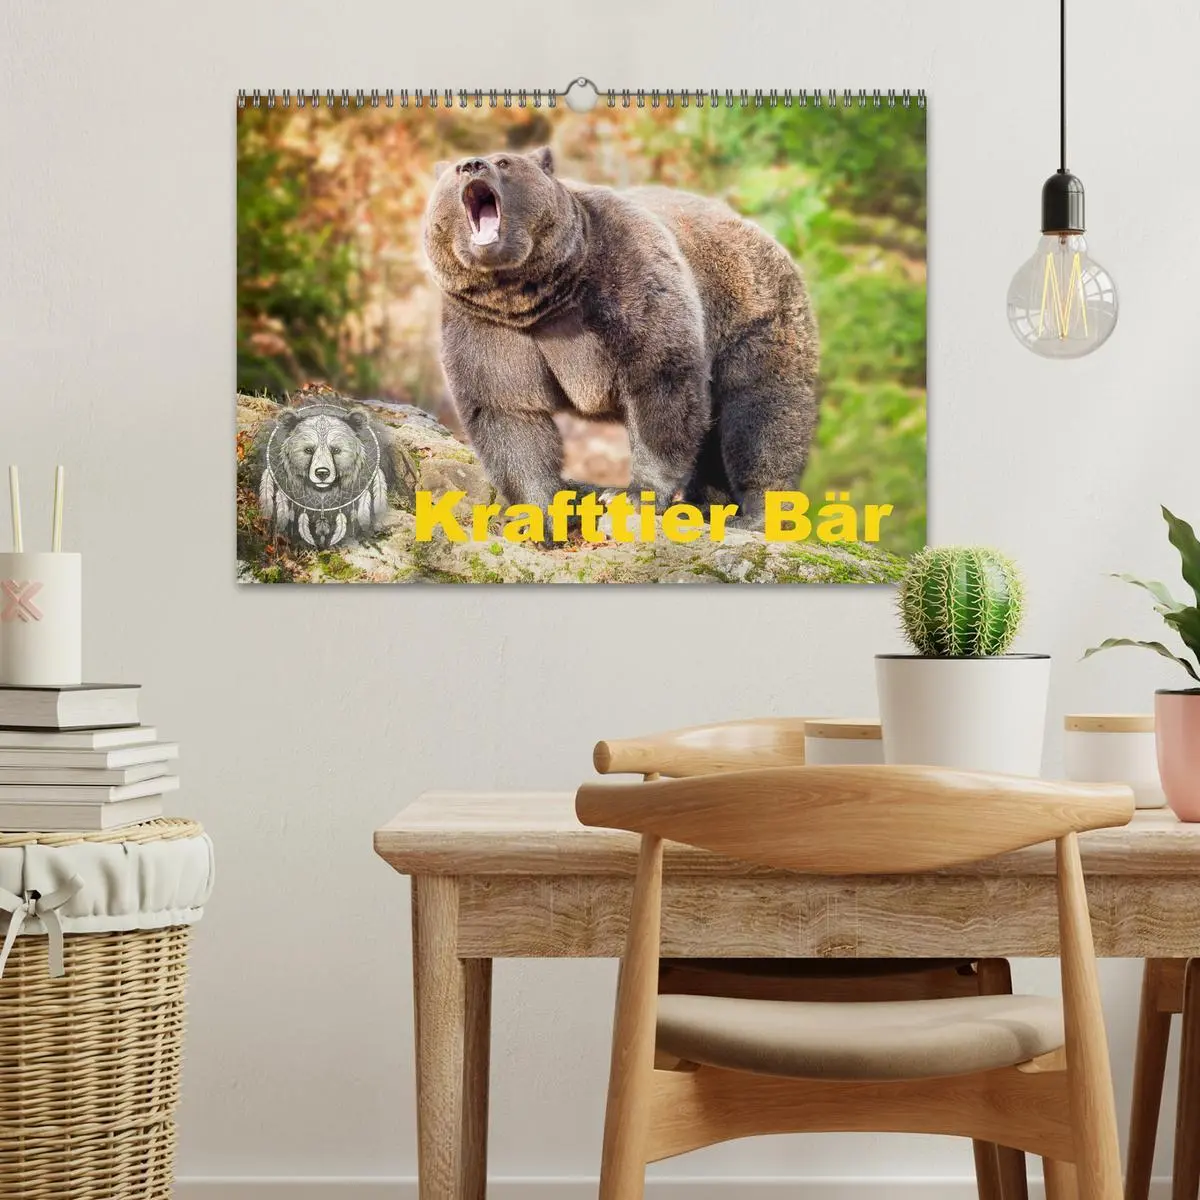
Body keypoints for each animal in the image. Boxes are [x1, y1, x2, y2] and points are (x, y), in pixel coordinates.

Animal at [422, 146, 819, 527]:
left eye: (504, 162)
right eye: (456, 168)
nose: (473, 165)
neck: (535, 296)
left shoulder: (623, 278)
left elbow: (658, 380)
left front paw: (631, 495)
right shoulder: (487, 324)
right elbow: (508, 409)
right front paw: (540, 514)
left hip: (752, 316)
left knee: (761, 413)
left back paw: (757, 512)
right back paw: (707, 502)